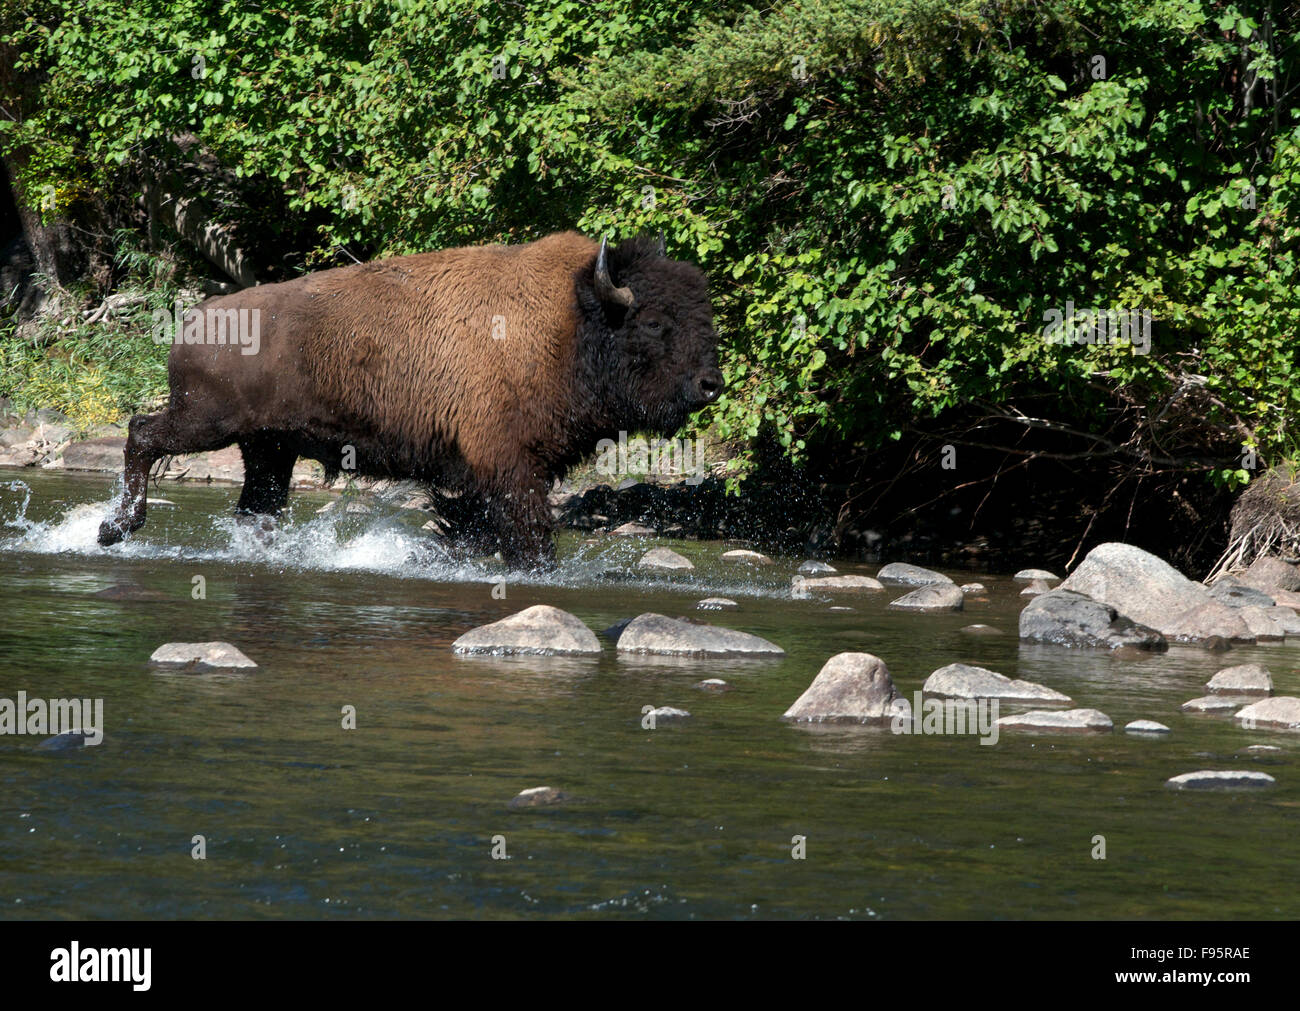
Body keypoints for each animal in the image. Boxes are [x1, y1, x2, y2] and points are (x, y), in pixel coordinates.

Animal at [98, 230, 733, 566]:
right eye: (654, 323)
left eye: (704, 313)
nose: (711, 384)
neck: (571, 323)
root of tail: (192, 322)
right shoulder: (510, 467)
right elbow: (527, 534)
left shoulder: (493, 473)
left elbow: (473, 525)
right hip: (206, 423)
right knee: (141, 434)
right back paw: (114, 529)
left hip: (268, 448)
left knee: (258, 505)